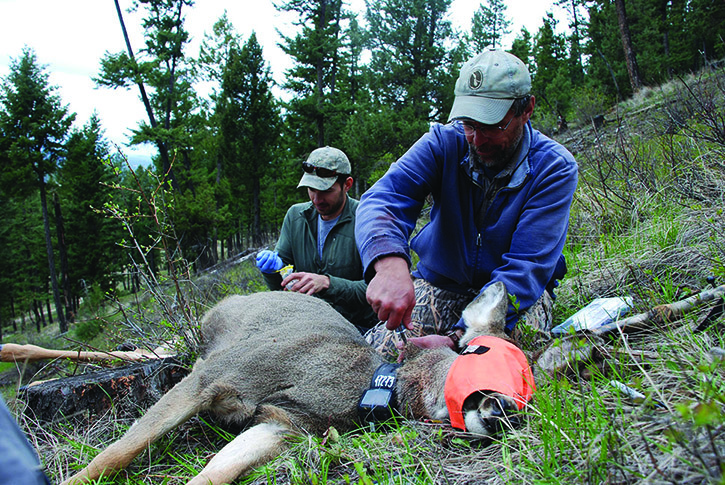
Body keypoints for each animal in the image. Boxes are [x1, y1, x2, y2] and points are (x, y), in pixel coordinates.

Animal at [60, 280, 532, 484]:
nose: (506, 412)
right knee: (153, 348)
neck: (368, 386)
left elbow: (216, 472)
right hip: (207, 332)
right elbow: (117, 453)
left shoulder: (284, 424)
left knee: (151, 352)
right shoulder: (217, 376)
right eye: (483, 353)